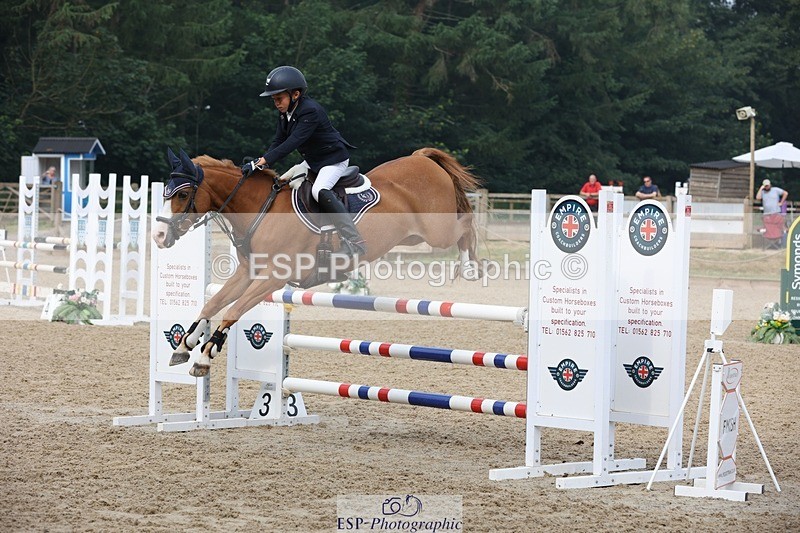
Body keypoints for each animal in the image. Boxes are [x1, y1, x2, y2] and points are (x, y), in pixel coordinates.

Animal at [152, 147, 482, 377]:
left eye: (182, 194)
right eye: (165, 193)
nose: (158, 236)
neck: (261, 209)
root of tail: (422, 159)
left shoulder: (272, 278)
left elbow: (232, 311)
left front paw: (205, 356)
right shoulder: (248, 273)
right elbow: (212, 303)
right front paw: (184, 345)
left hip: (437, 231)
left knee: (466, 222)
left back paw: (471, 267)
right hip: (413, 237)